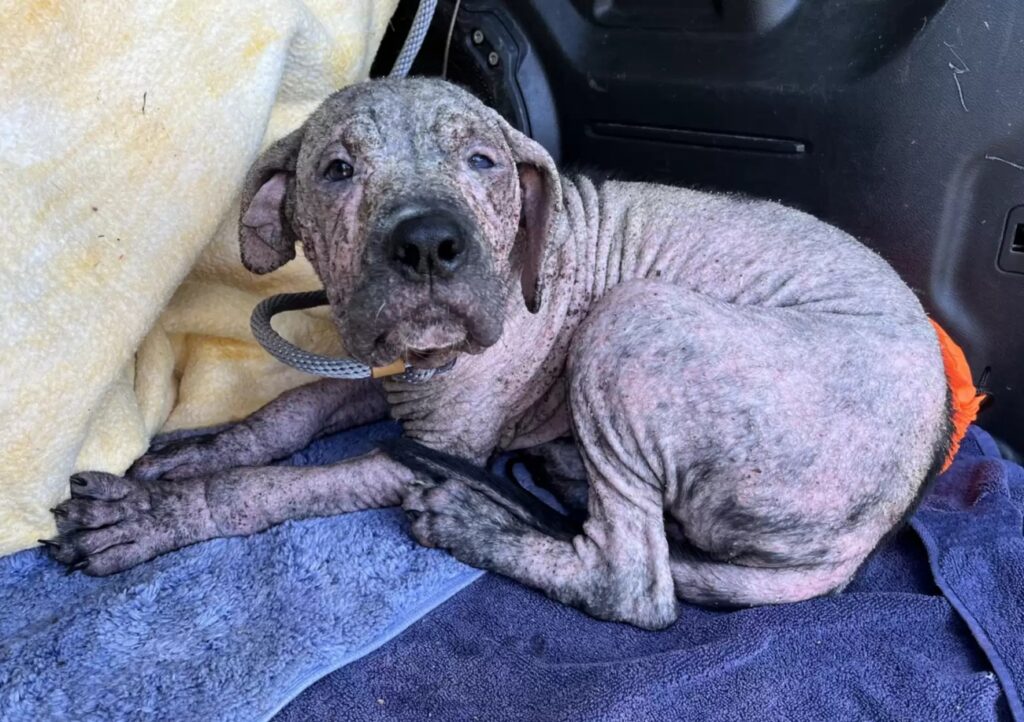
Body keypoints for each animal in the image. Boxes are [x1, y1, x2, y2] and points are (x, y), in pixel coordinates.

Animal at [44, 78, 946, 626]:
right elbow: (288, 411)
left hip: (632, 320)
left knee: (632, 582)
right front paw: (196, 453)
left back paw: (479, 522)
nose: (429, 245)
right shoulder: (388, 368)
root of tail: (873, 532)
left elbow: (275, 488)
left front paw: (165, 513)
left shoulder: (422, 448)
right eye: (336, 171)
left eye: (482, 161)